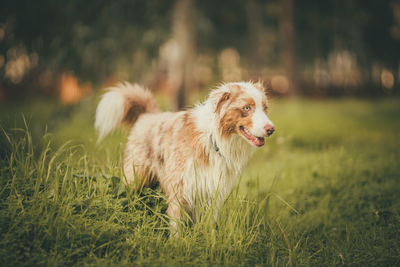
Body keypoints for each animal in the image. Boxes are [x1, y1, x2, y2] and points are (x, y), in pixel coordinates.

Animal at [95, 81, 274, 232]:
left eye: (265, 108)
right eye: (246, 108)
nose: (271, 129)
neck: (212, 139)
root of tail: (148, 115)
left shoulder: (212, 192)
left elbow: (207, 225)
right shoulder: (180, 188)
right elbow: (176, 225)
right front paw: (177, 244)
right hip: (135, 177)